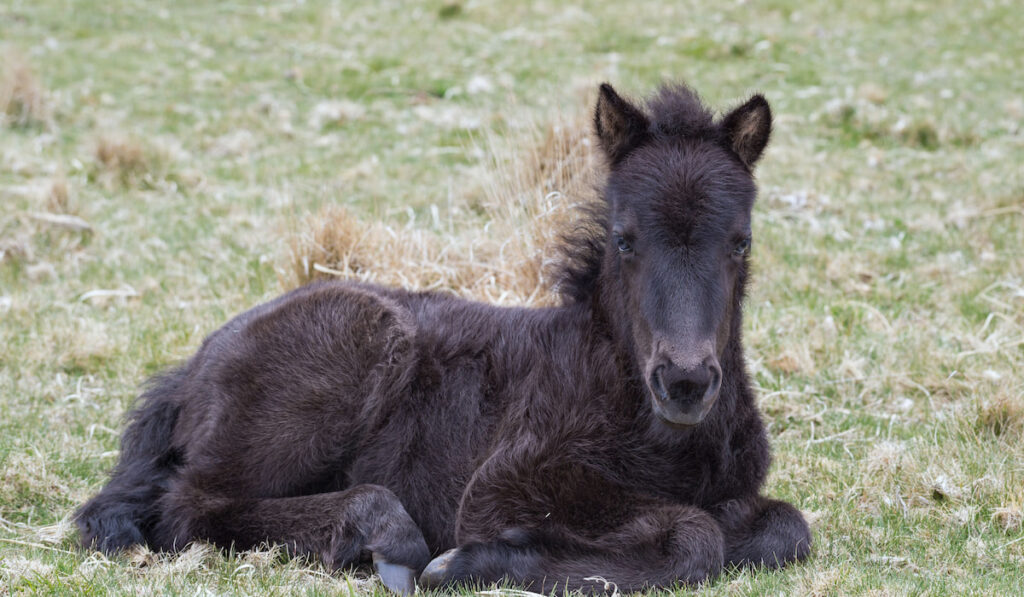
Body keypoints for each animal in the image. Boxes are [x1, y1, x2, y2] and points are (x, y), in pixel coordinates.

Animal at [75, 82, 811, 593]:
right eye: (625, 239)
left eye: (741, 242)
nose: (684, 382)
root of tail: (194, 366)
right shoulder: (503, 486)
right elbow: (693, 535)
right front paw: (475, 559)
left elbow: (785, 527)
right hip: (352, 349)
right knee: (192, 506)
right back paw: (388, 539)